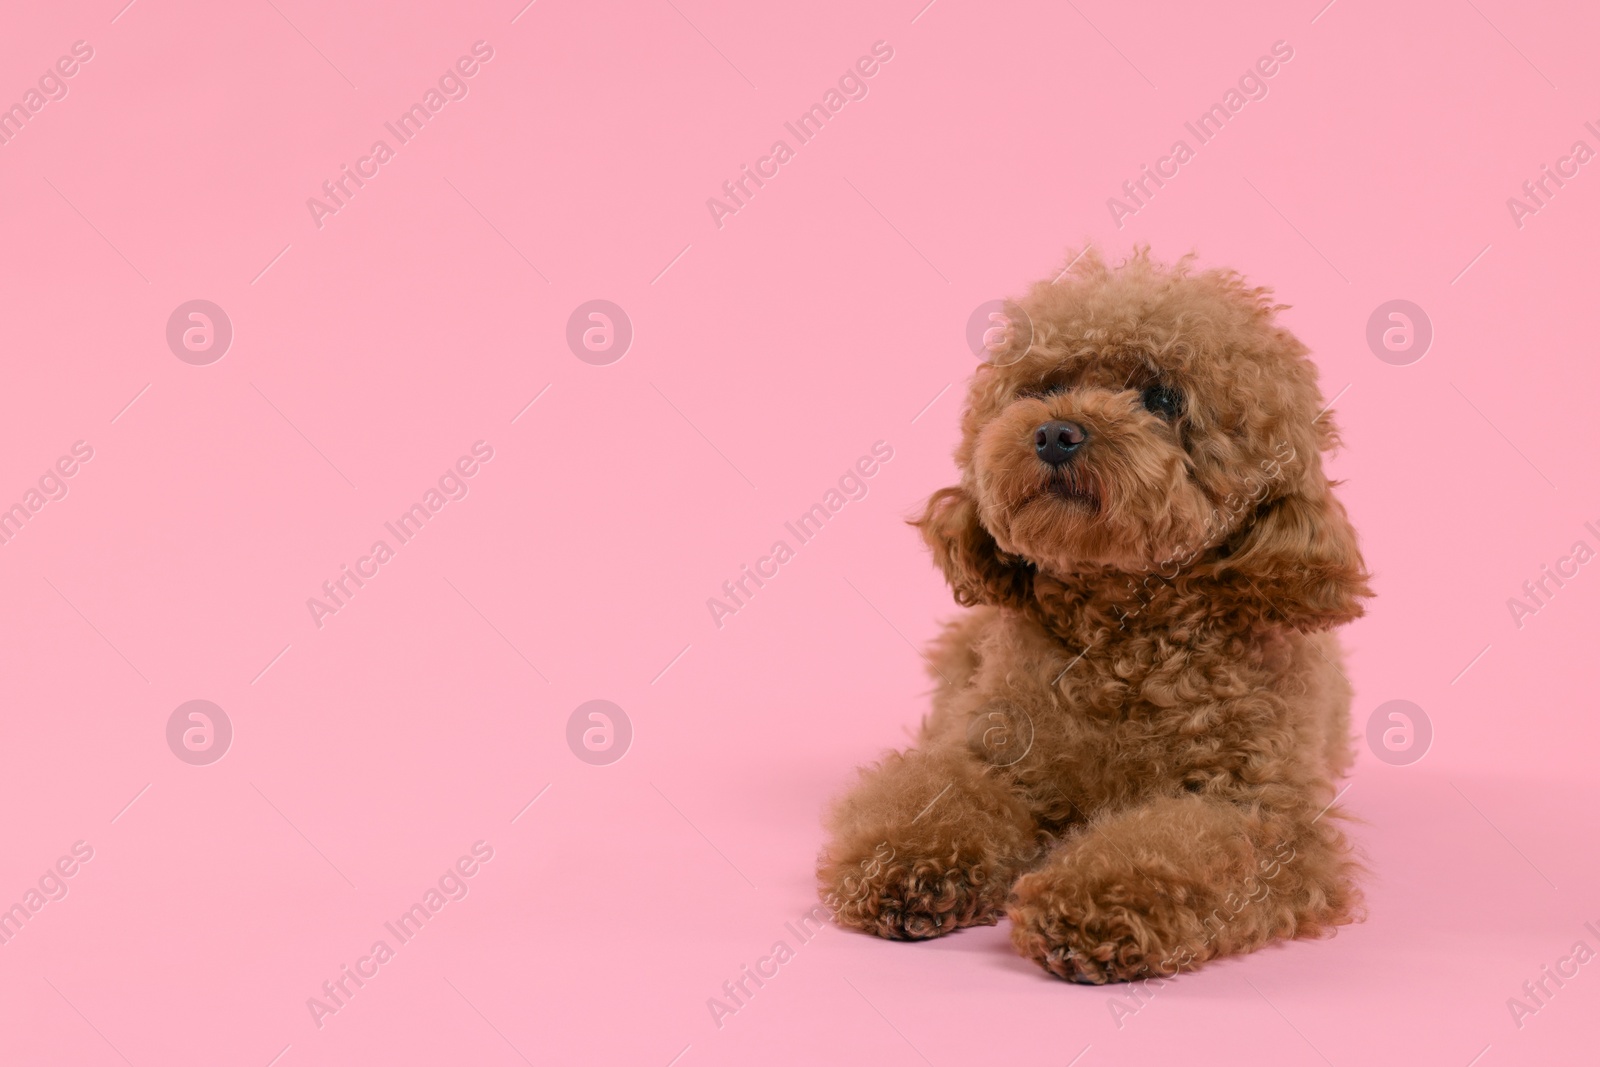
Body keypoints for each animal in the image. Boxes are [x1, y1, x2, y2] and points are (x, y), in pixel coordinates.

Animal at [819, 247, 1369, 985]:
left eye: (1162, 398)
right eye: (1045, 386)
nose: (1055, 432)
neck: (1122, 637)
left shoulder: (1260, 813)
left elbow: (1174, 848)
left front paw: (1093, 906)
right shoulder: (988, 752)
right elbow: (940, 793)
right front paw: (906, 865)